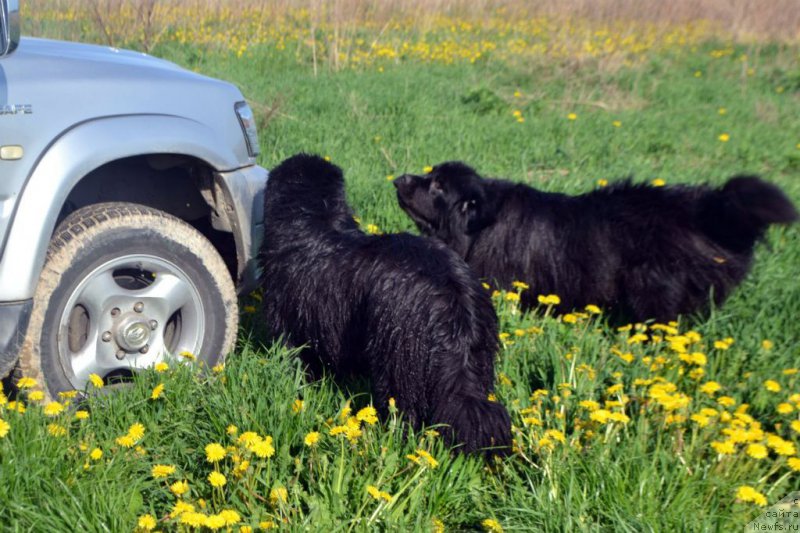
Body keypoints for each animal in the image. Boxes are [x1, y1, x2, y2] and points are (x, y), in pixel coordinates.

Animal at [396, 160, 800, 322]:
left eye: (438, 186)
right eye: (430, 174)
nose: (399, 179)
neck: (479, 224)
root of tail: (702, 211)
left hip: (655, 287)